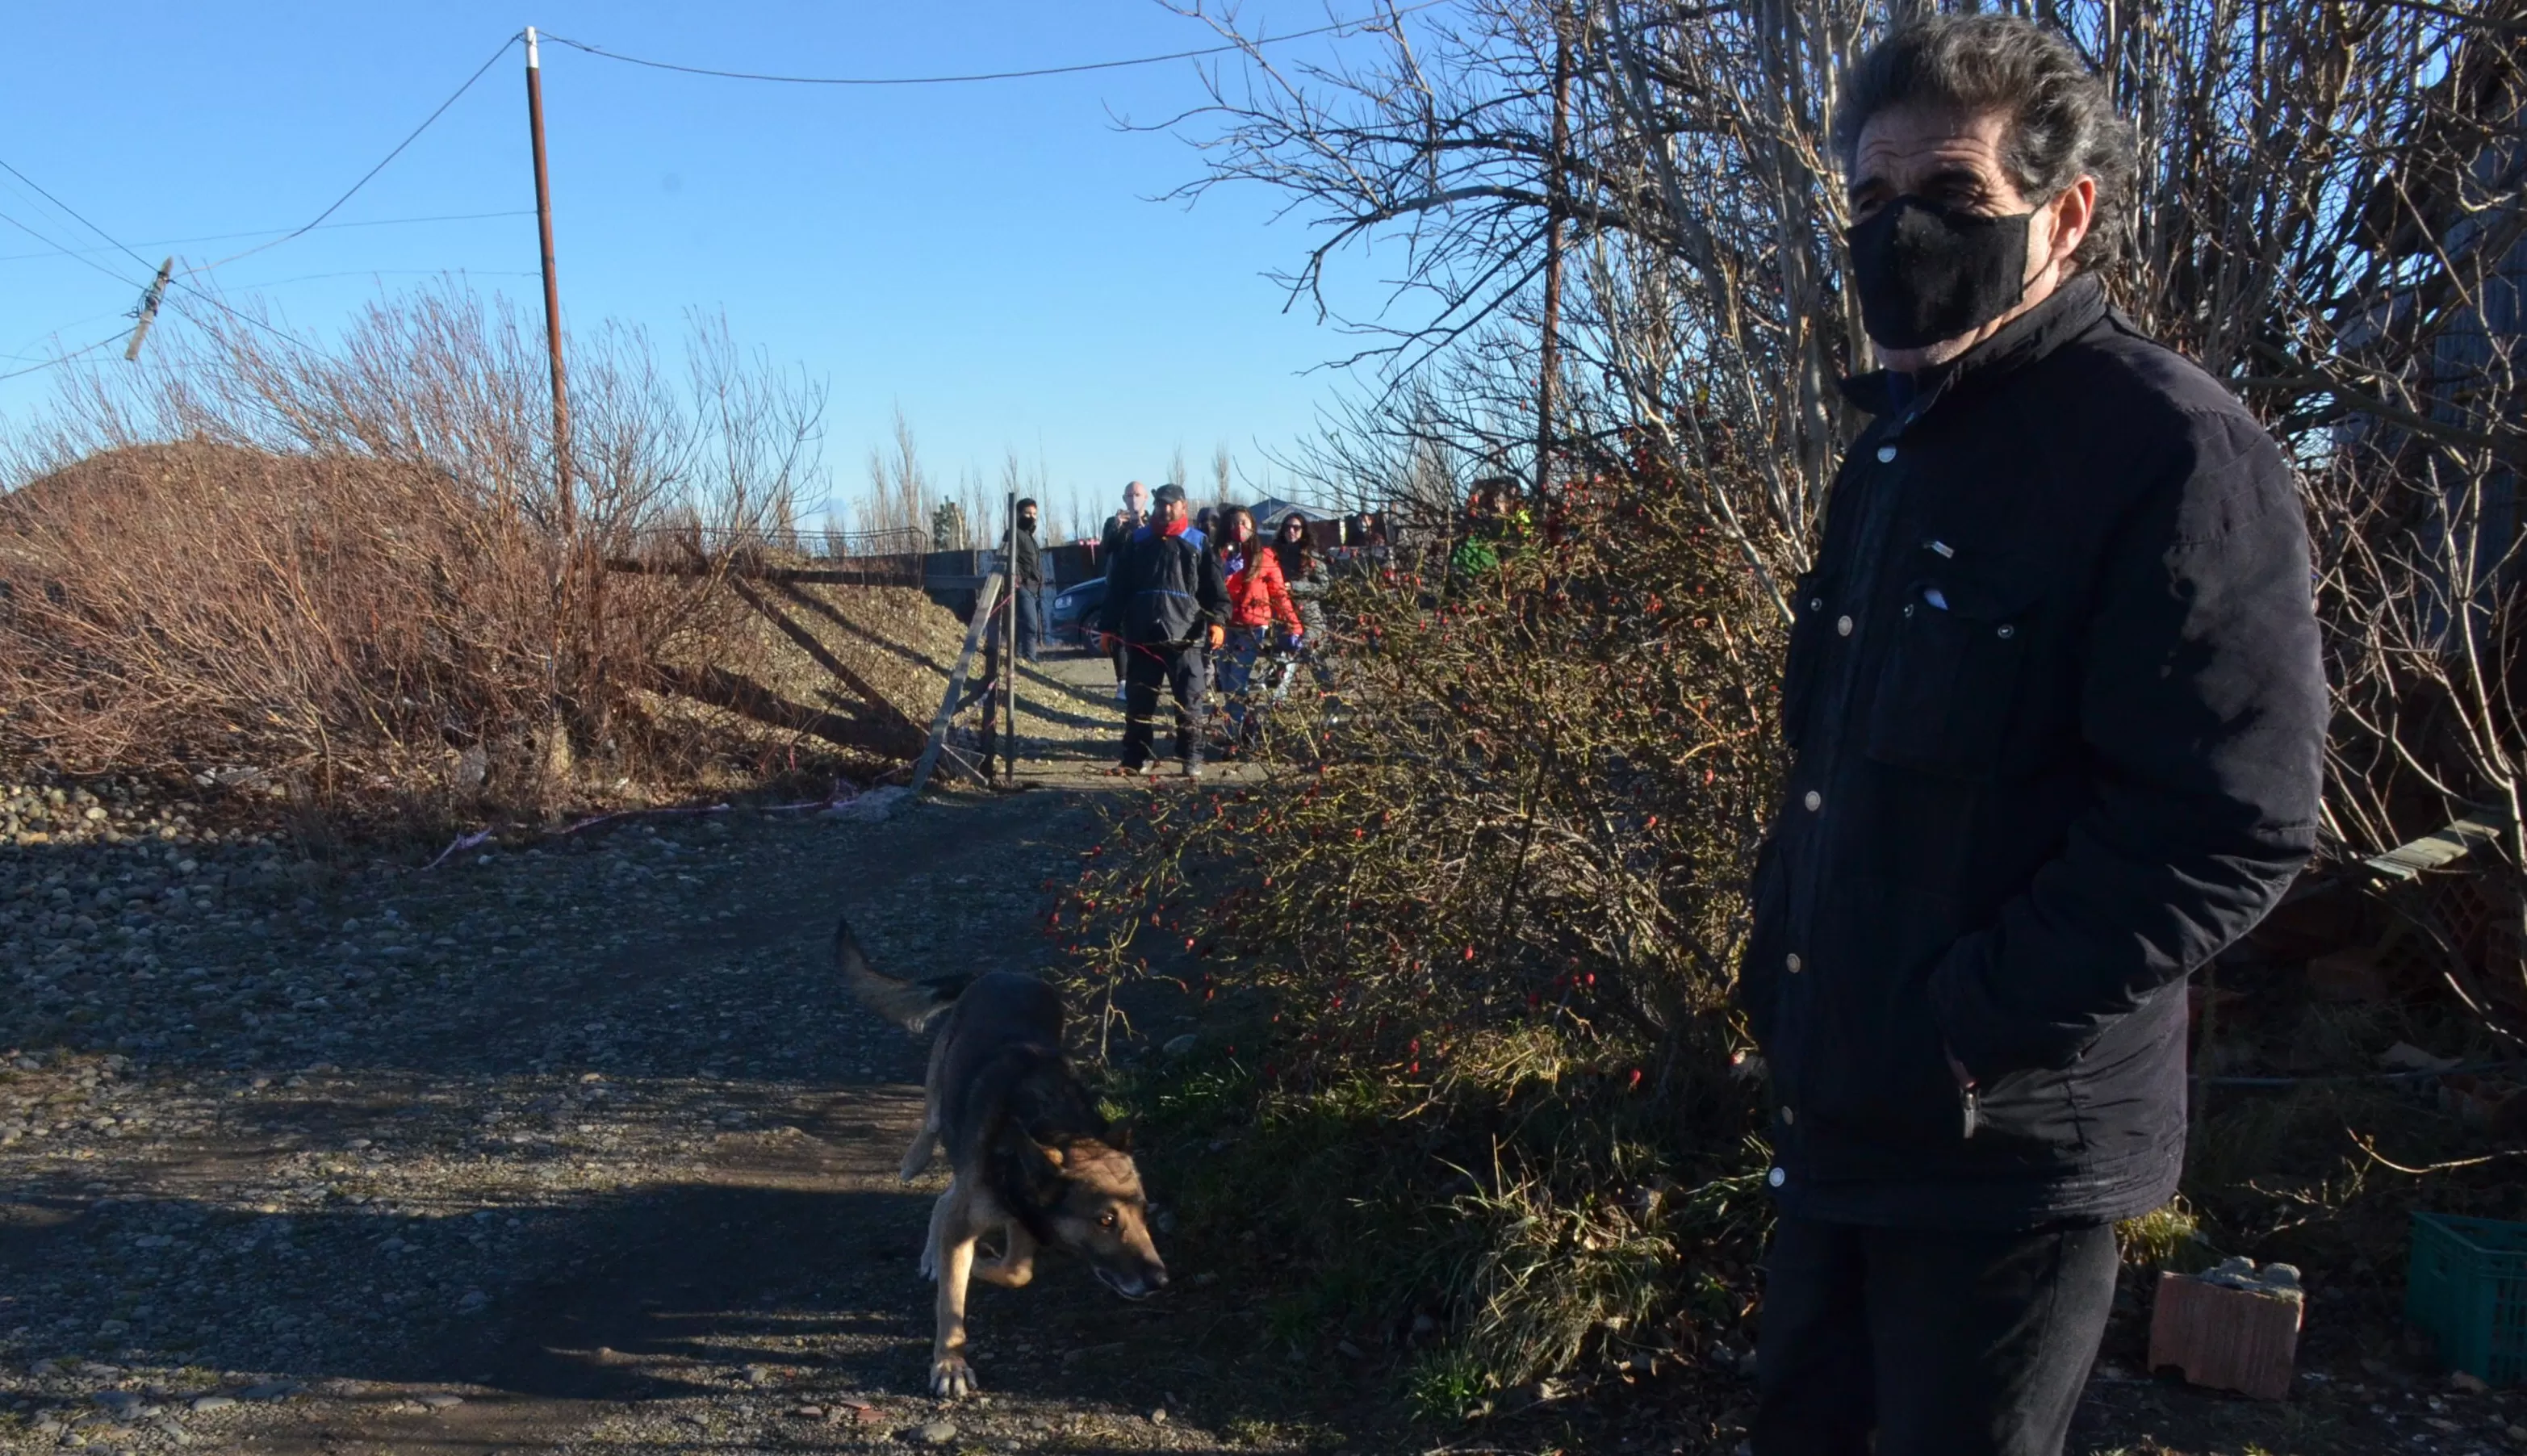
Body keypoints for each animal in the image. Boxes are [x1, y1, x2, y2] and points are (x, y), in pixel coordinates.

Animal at [839, 914, 1172, 1395]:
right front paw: (949, 1364)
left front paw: (979, 1265)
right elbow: (953, 1301)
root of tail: (999, 974)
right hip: (942, 1087)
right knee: (931, 1126)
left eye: (1145, 1213)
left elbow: (1017, 1271)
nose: (1160, 1281)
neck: (1051, 1124)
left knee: (946, 1198)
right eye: (1106, 1220)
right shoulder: (978, 1219)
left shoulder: (1022, 1216)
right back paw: (914, 1164)